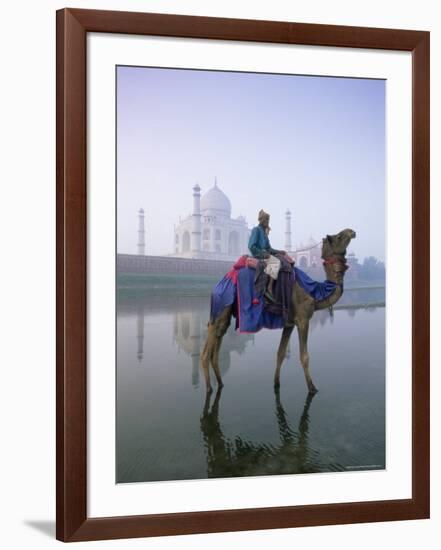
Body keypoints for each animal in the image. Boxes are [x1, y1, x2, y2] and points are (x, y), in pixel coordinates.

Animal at [201, 230, 356, 396]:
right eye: (339, 236)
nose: (351, 231)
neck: (314, 292)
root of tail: (218, 285)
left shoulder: (289, 323)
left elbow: (280, 353)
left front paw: (276, 383)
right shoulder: (303, 319)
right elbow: (304, 356)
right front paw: (312, 388)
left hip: (225, 311)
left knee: (217, 343)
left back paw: (221, 384)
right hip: (221, 304)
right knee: (206, 353)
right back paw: (209, 389)